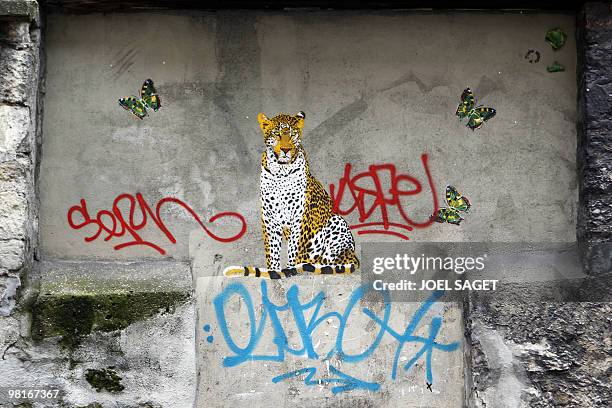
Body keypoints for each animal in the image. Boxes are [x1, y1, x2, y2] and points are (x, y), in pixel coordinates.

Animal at [224, 110, 358, 278]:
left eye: (293, 134)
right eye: (276, 134)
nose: (286, 150)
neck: (281, 172)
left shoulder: (299, 216)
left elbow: (294, 247)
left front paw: (290, 269)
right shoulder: (268, 217)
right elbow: (272, 248)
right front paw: (274, 272)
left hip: (336, 222)